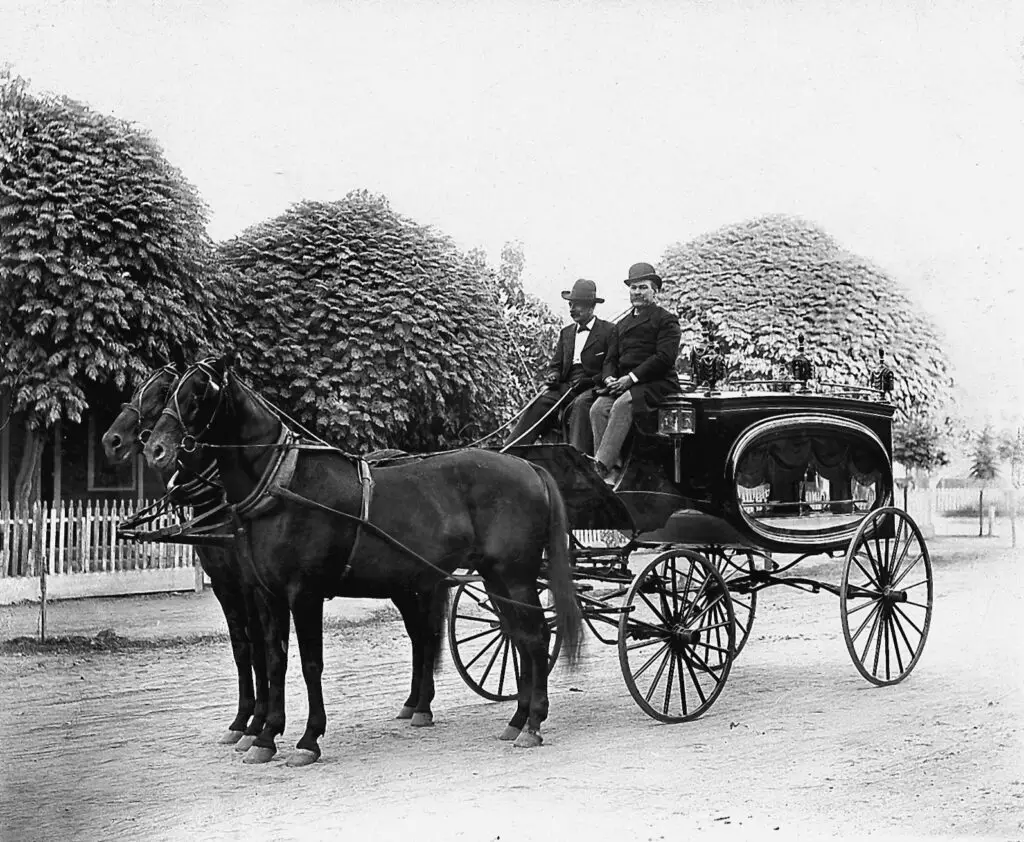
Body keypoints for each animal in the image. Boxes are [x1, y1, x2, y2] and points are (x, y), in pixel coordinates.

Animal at [97, 362, 268, 749]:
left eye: (163, 391)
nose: (111, 441)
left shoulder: (250, 584)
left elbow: (260, 647)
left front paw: (259, 724)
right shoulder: (223, 584)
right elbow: (242, 648)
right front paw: (243, 721)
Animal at [142, 356, 585, 770]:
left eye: (199, 392)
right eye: (170, 392)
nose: (156, 449)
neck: (284, 486)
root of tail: (529, 466)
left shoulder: (303, 593)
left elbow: (310, 664)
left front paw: (308, 739)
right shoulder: (265, 594)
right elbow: (272, 660)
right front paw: (265, 736)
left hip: (515, 575)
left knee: (534, 638)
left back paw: (532, 722)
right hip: (493, 578)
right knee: (517, 637)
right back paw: (517, 718)